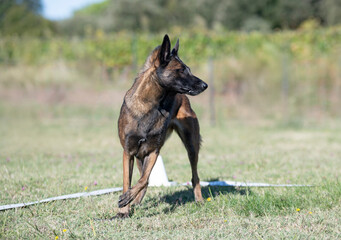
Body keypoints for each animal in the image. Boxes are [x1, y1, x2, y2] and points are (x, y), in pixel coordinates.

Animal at [117, 35, 207, 218]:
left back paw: (199, 200)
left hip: (191, 146)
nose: (205, 85)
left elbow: (143, 180)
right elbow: (128, 181)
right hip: (139, 156)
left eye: (188, 69)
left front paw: (127, 200)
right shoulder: (128, 152)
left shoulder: (153, 151)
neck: (151, 106)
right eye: (181, 70)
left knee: (195, 176)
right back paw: (135, 201)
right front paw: (124, 209)